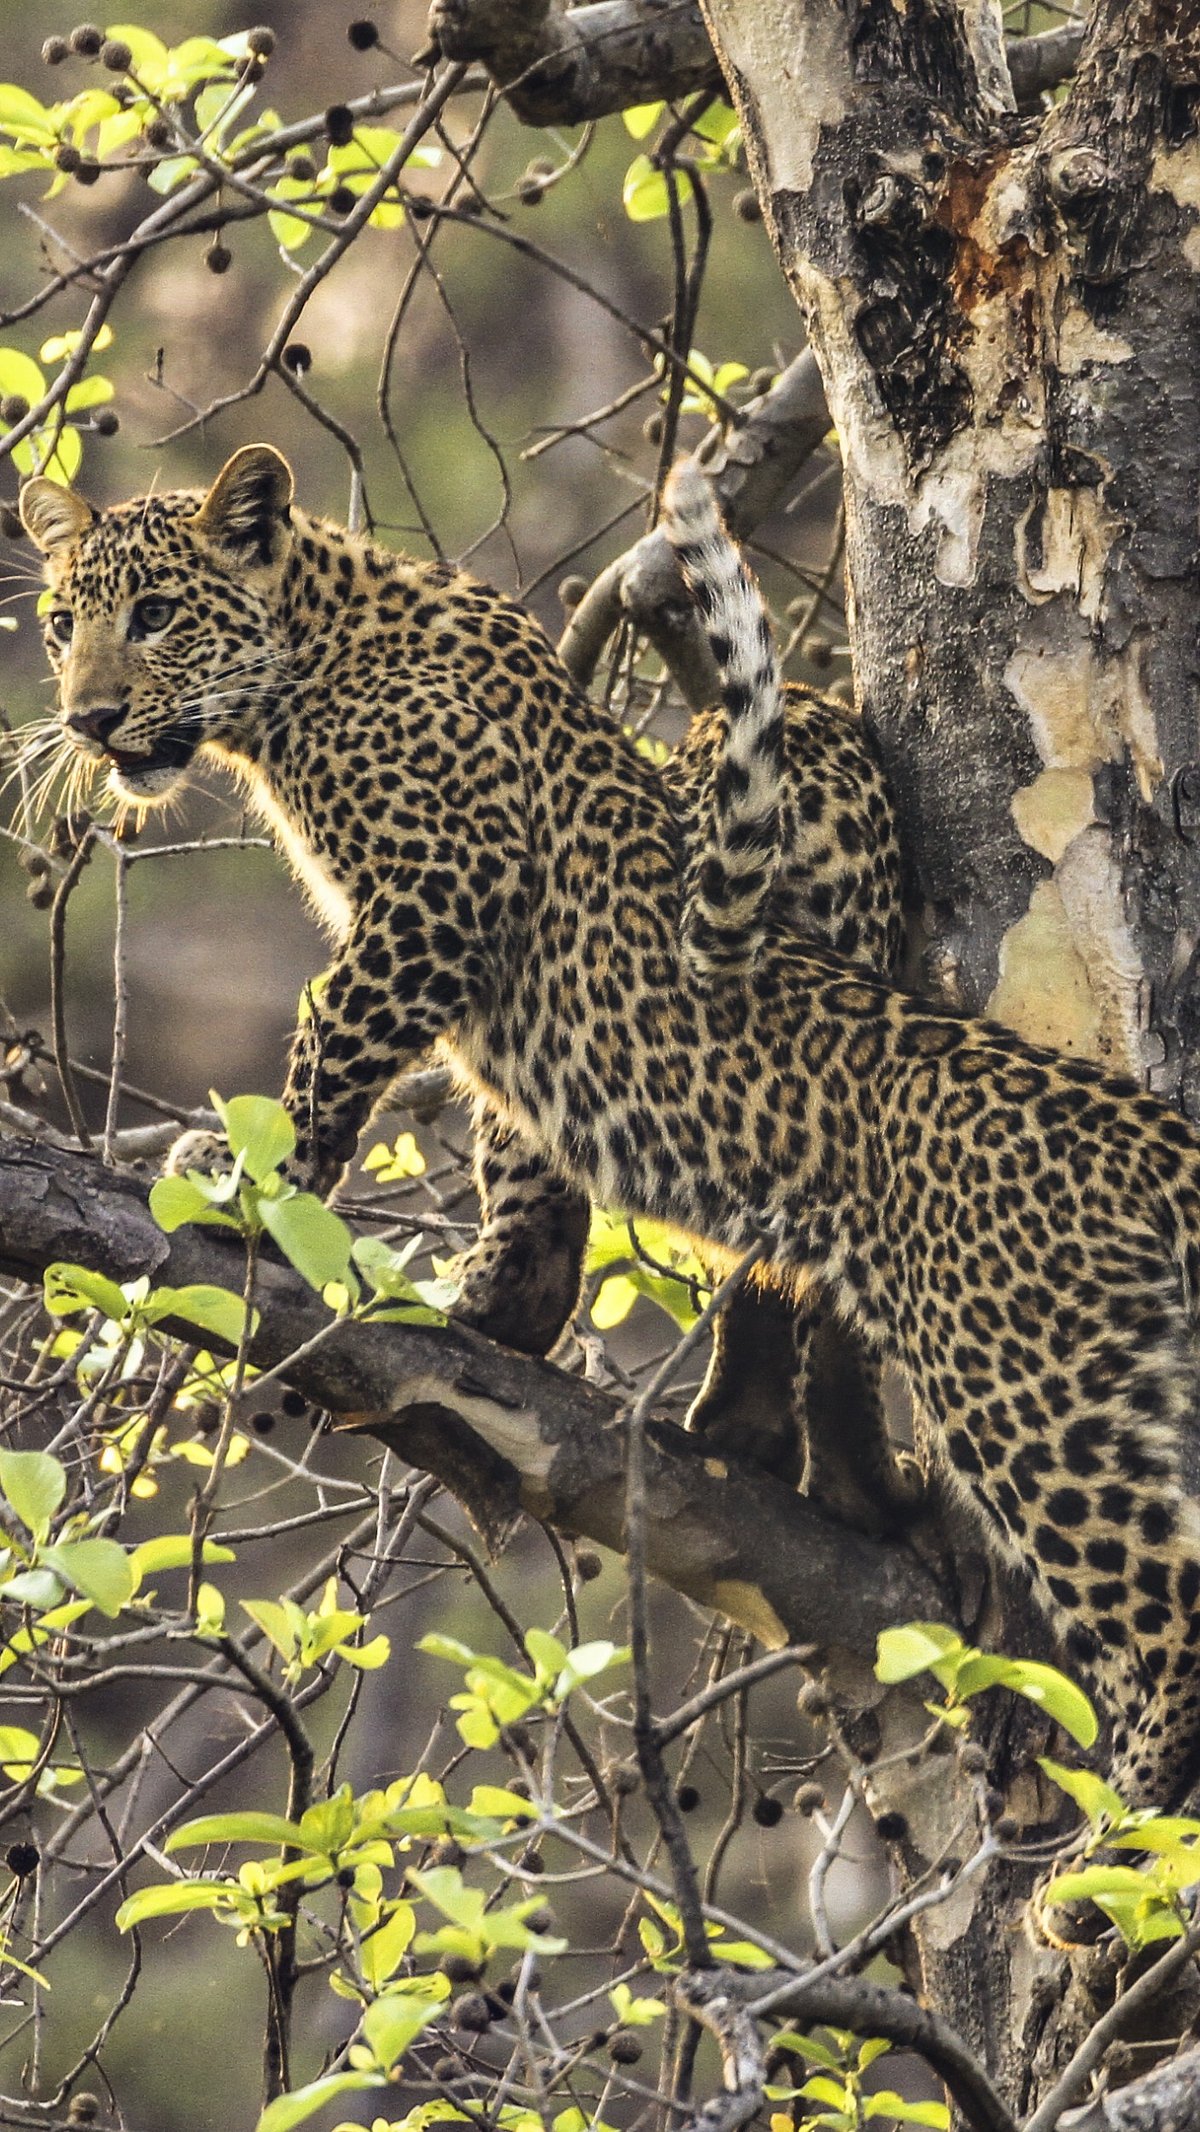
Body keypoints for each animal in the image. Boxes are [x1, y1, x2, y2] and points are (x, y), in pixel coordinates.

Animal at [19, 444, 1200, 1807]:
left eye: (157, 614)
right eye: (61, 625)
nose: (87, 719)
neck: (307, 667)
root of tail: (1137, 1129)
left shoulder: (440, 889)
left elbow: (330, 1037)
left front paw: (250, 1182)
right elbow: (515, 1139)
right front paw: (498, 1301)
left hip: (1032, 1393)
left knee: (1161, 1610)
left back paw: (1124, 1822)